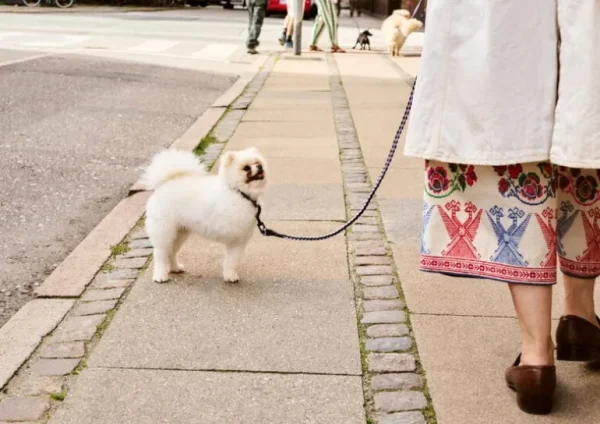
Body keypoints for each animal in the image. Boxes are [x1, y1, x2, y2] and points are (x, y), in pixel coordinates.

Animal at [141, 147, 268, 284]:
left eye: (258, 163)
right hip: (164, 231)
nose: (260, 166)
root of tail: (165, 184)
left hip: (180, 232)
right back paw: (160, 276)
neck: (239, 193)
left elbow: (232, 261)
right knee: (160, 253)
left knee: (172, 251)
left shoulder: (238, 241)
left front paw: (230, 275)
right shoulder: (235, 237)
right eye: (246, 168)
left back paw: (175, 268)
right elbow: (231, 260)